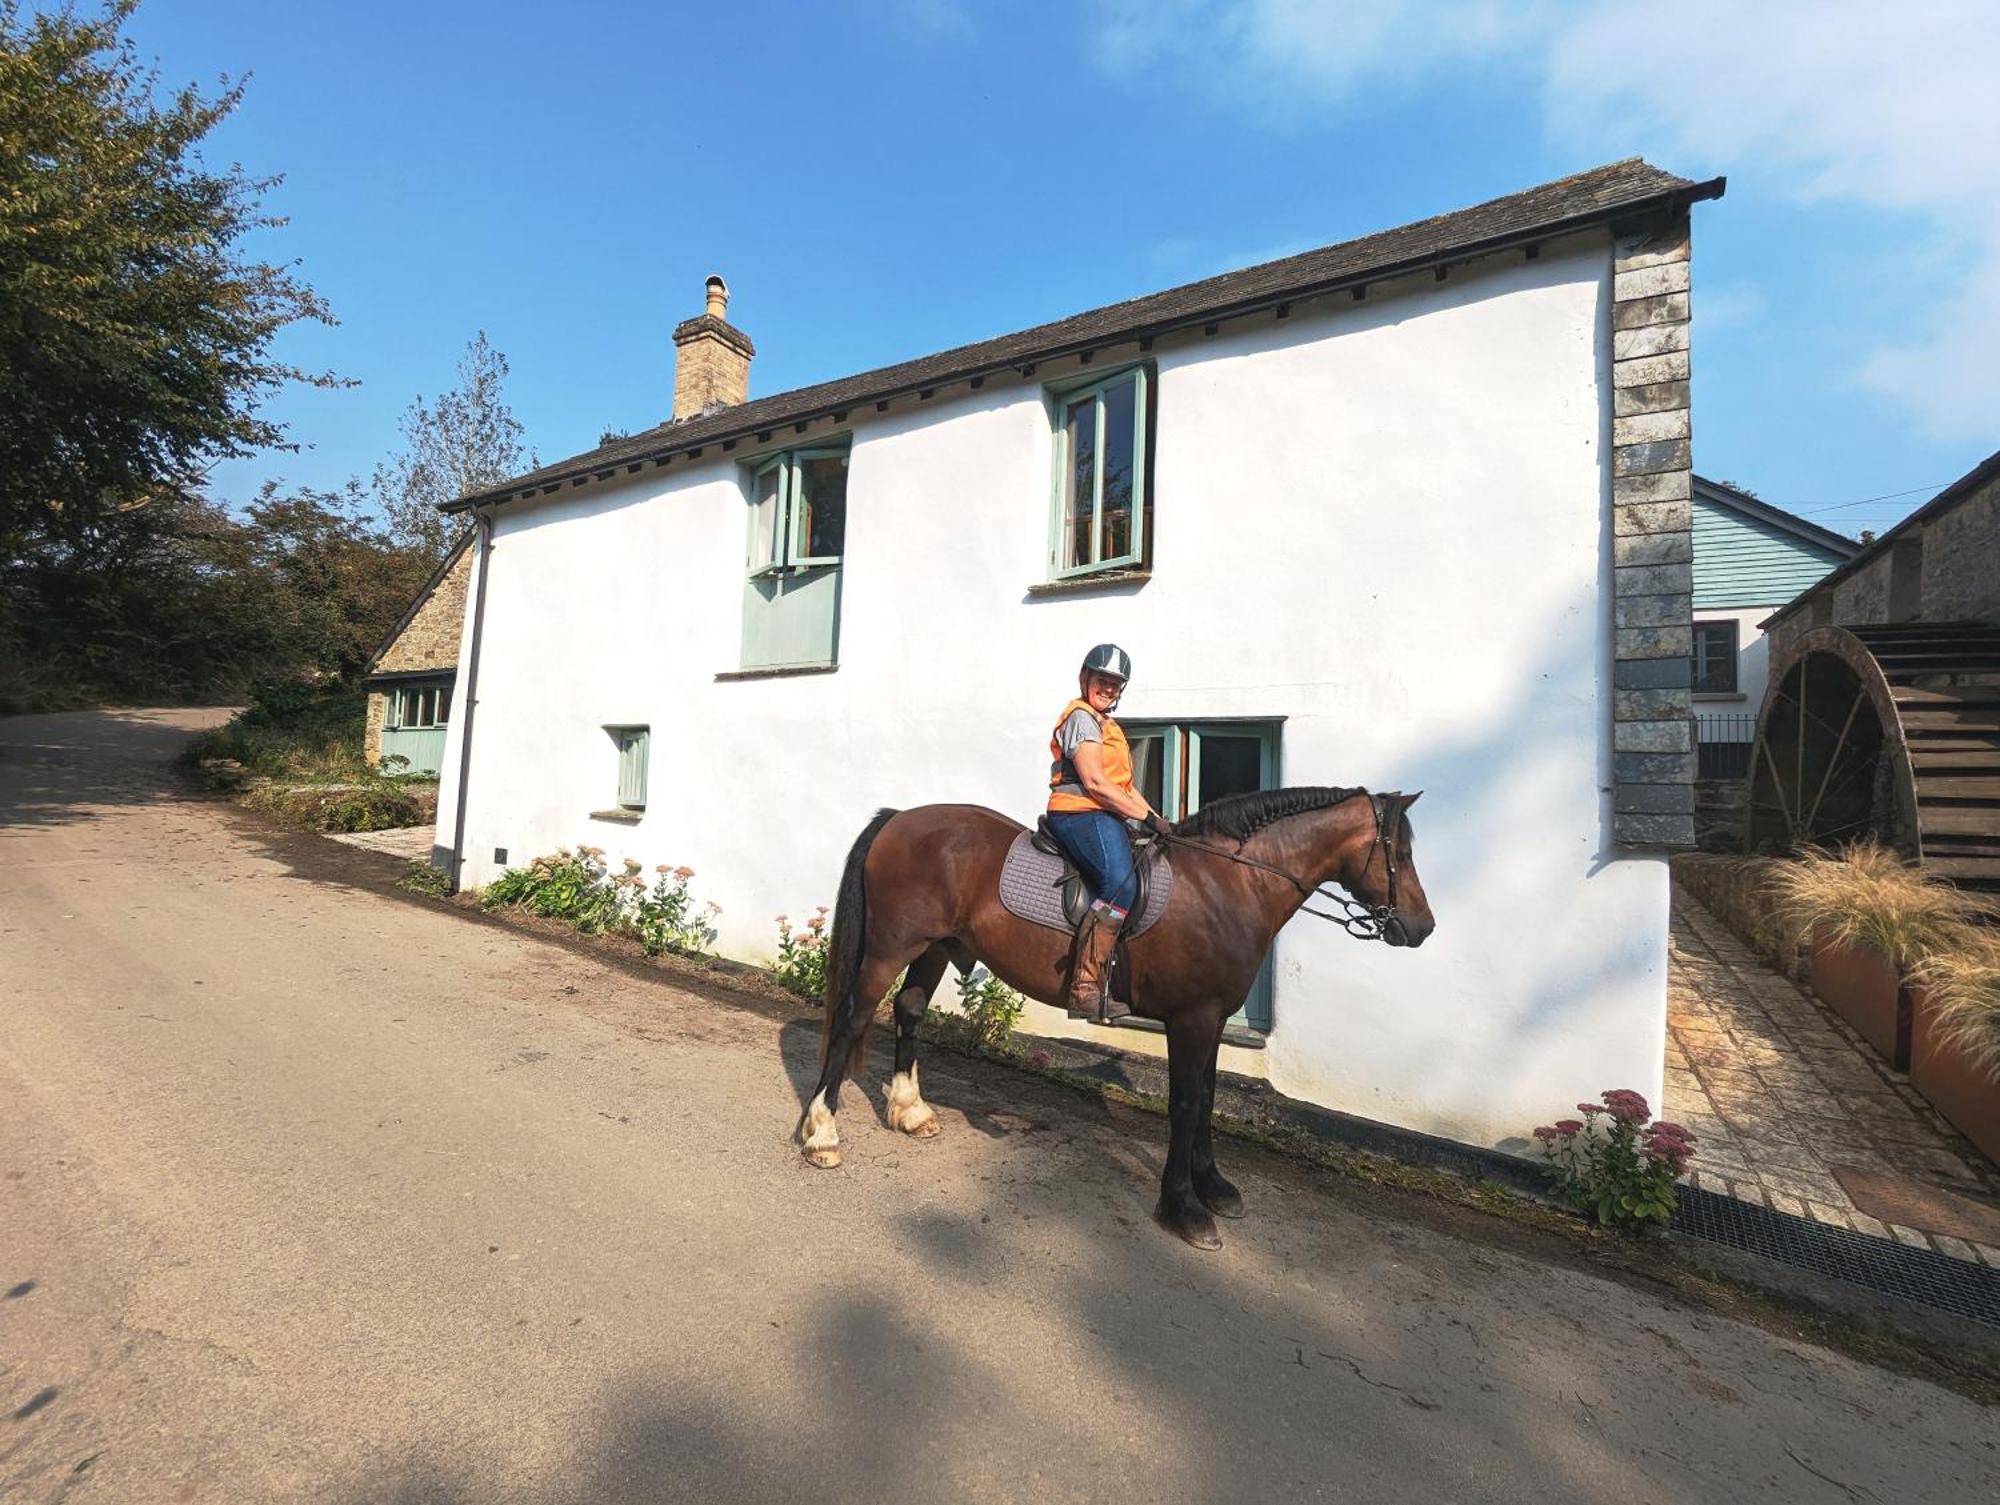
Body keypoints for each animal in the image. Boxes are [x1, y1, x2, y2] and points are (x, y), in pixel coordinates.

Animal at [796, 780, 1440, 1248]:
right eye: (1402, 853)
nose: (1422, 927)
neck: (1228, 884)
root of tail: (900, 817)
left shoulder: (1211, 1021)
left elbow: (1208, 1100)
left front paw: (1214, 1185)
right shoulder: (1191, 1018)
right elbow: (1185, 1106)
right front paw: (1183, 1207)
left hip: (935, 947)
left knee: (908, 1012)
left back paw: (910, 1112)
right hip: (891, 948)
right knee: (854, 1019)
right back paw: (822, 1133)